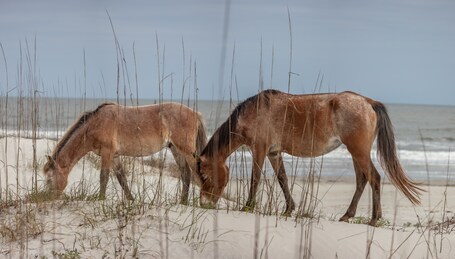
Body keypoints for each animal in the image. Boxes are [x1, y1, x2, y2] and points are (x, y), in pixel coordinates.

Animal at [43, 101, 208, 203]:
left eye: (50, 179)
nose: (46, 198)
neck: (96, 124)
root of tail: (195, 113)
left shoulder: (107, 153)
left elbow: (104, 177)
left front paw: (100, 199)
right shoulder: (114, 156)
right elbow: (122, 179)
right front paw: (131, 200)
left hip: (186, 151)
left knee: (197, 172)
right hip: (175, 149)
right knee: (186, 174)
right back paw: (183, 202)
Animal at [196, 89, 424, 225]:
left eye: (205, 176)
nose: (204, 203)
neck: (254, 112)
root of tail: (368, 102)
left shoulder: (259, 150)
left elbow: (255, 179)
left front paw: (248, 206)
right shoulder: (273, 153)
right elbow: (282, 179)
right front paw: (289, 209)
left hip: (358, 151)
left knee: (374, 178)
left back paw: (374, 219)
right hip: (356, 152)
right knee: (362, 180)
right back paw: (347, 215)